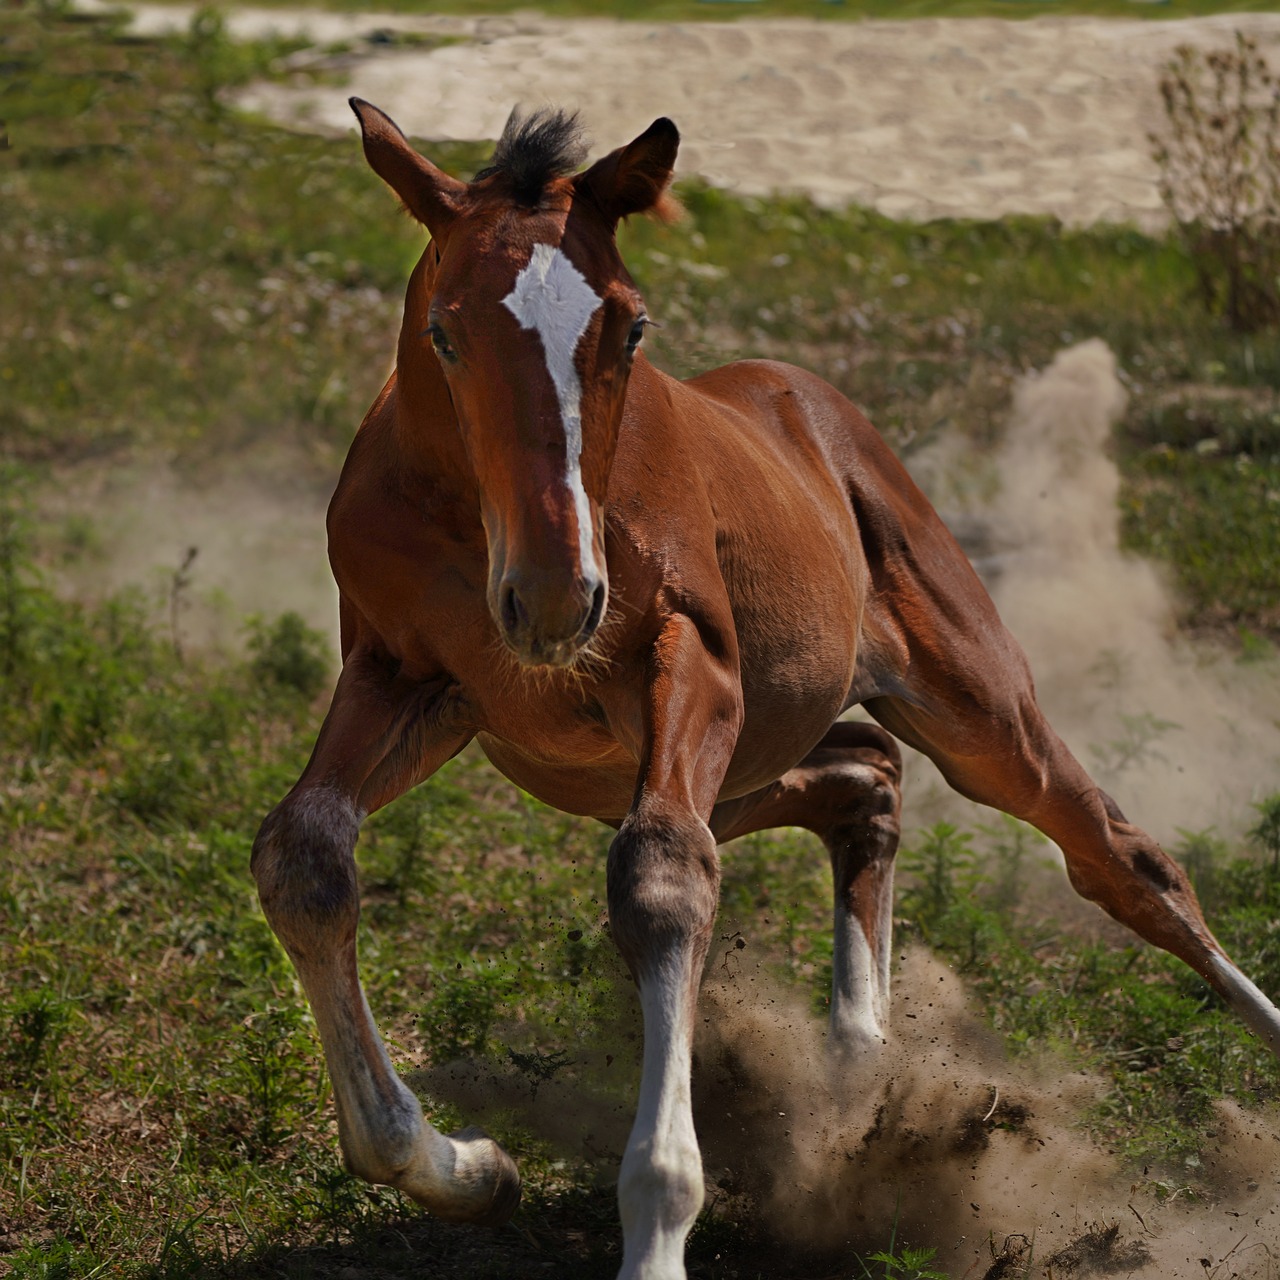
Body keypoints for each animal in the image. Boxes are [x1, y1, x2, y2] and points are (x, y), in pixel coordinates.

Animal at [249, 102, 1280, 1280]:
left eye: (630, 332)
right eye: (444, 331)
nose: (557, 594)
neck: (473, 528)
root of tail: (812, 402)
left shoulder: (691, 663)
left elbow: (662, 877)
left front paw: (652, 1232)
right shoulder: (406, 678)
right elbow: (302, 855)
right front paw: (469, 1166)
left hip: (967, 705)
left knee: (1118, 857)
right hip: (712, 770)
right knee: (865, 775)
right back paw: (858, 1075)